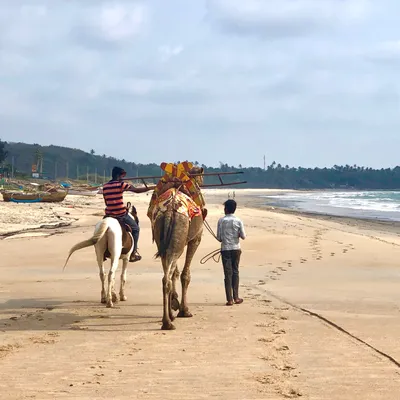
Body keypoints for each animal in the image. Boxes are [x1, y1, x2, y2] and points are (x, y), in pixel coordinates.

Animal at [151, 164, 206, 330]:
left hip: (162, 236)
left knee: (166, 276)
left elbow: (175, 272)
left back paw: (168, 318)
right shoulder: (195, 239)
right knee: (169, 275)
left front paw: (175, 305)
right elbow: (185, 275)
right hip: (179, 235)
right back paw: (168, 322)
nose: (202, 182)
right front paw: (184, 310)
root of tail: (169, 210)